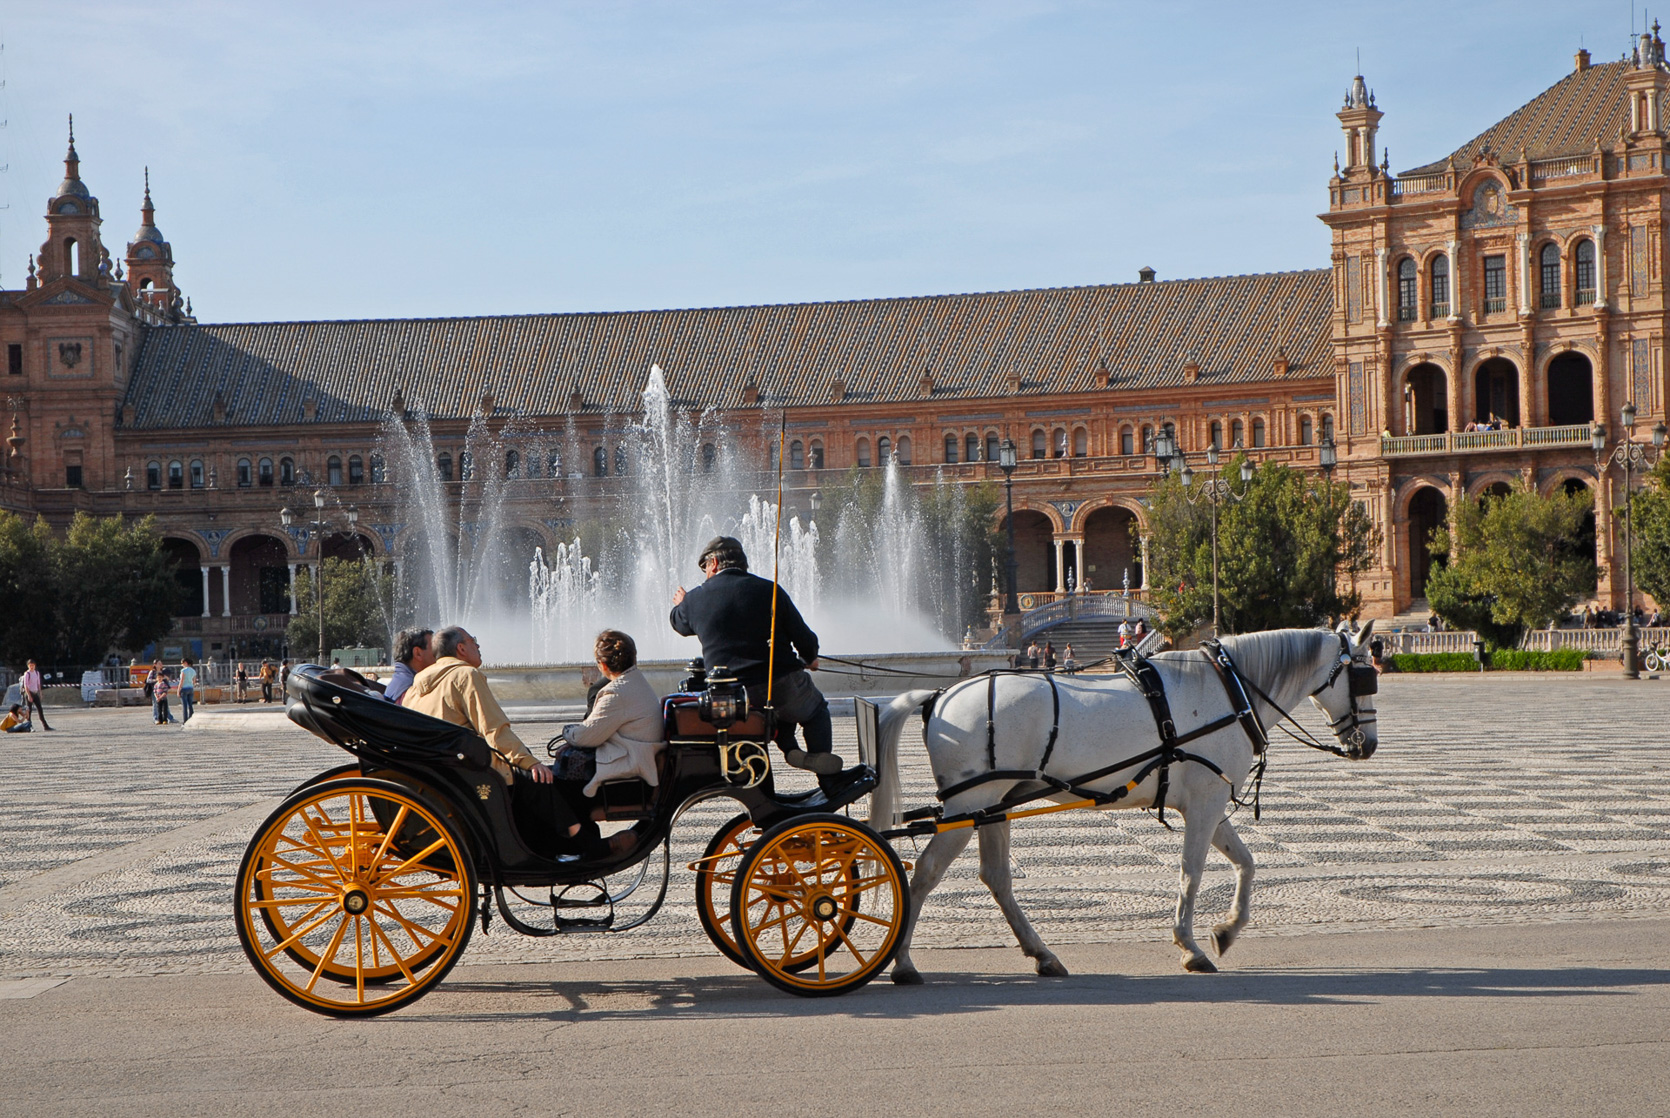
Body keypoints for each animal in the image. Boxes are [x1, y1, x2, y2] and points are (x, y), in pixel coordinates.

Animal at [868, 625, 1376, 982]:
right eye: (1365, 675)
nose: (1366, 745)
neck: (1229, 689)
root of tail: (939, 694)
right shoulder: (1205, 805)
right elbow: (1192, 872)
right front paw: (1189, 945)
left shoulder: (1208, 804)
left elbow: (1246, 864)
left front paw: (1227, 929)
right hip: (966, 807)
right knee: (926, 873)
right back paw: (904, 964)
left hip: (992, 807)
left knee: (996, 877)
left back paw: (1043, 954)